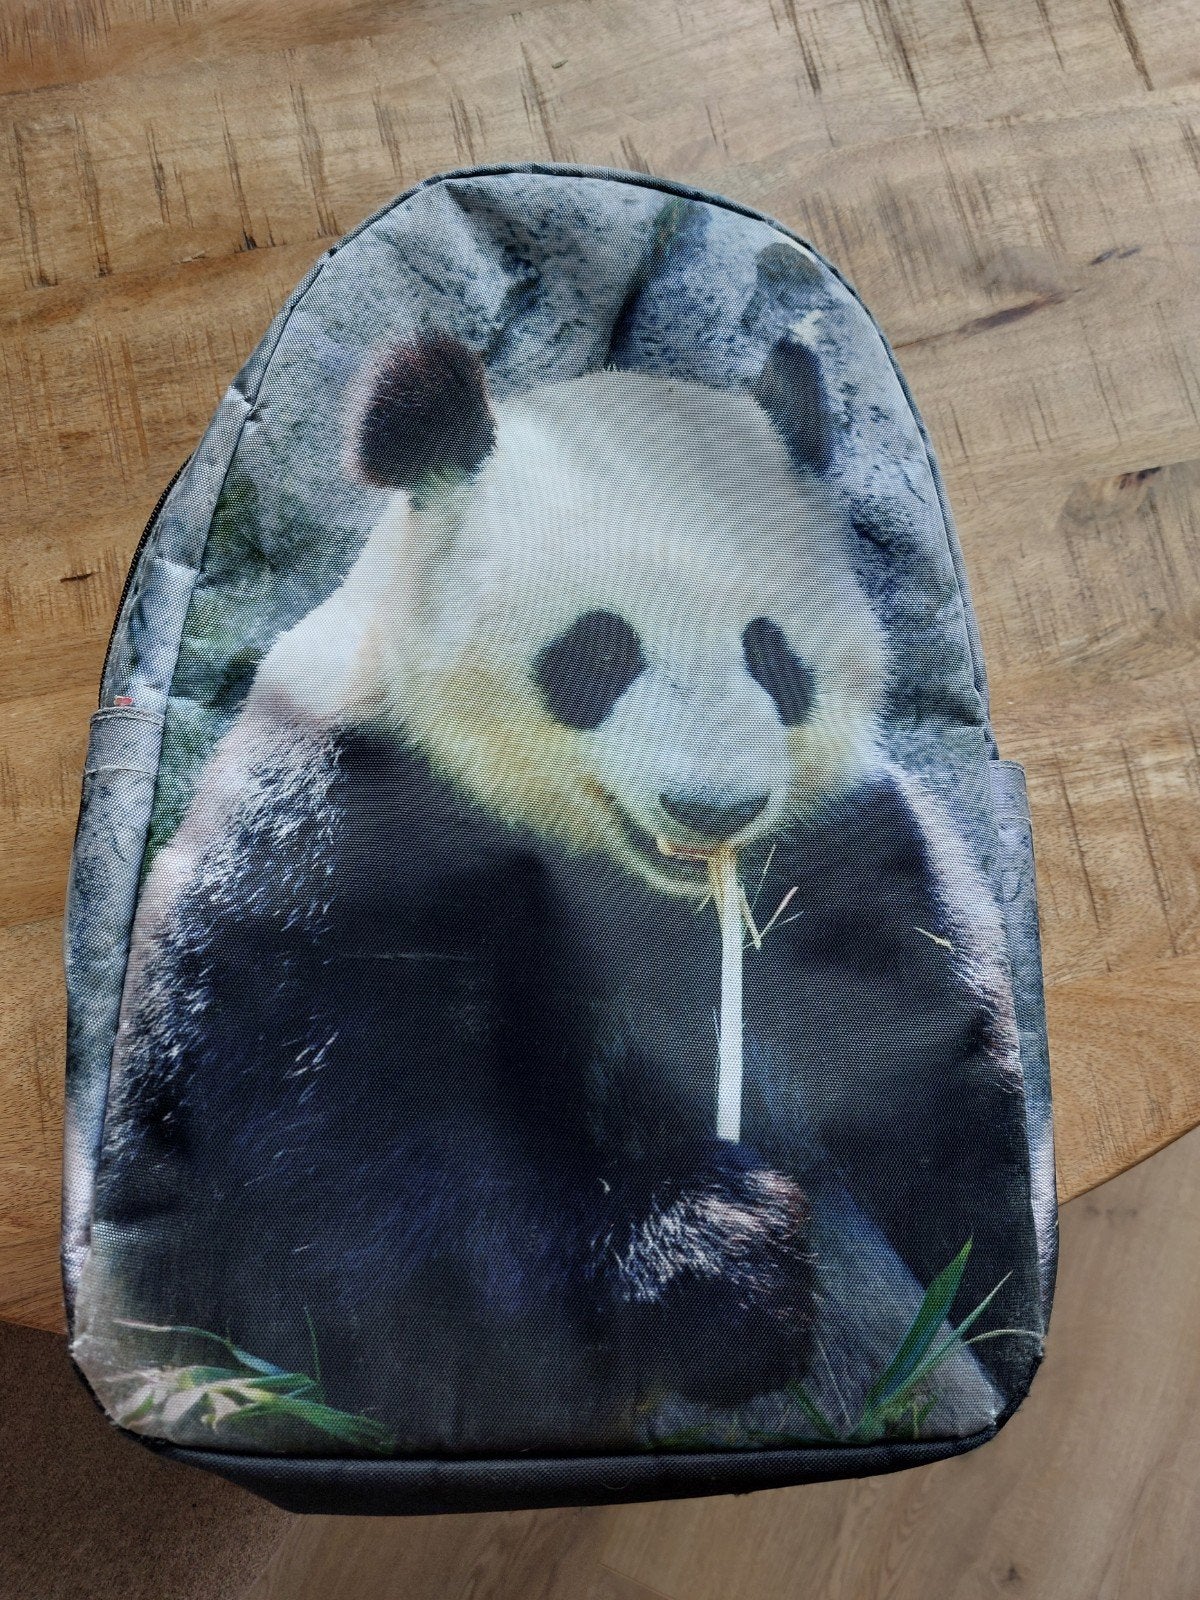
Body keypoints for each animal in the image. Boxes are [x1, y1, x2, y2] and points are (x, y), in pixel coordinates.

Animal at [85, 332, 1034, 1454]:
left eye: (773, 654)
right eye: (597, 652)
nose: (713, 807)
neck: (632, 881)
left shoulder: (853, 865)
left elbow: (950, 1122)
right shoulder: (335, 848)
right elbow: (341, 1228)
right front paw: (719, 1260)